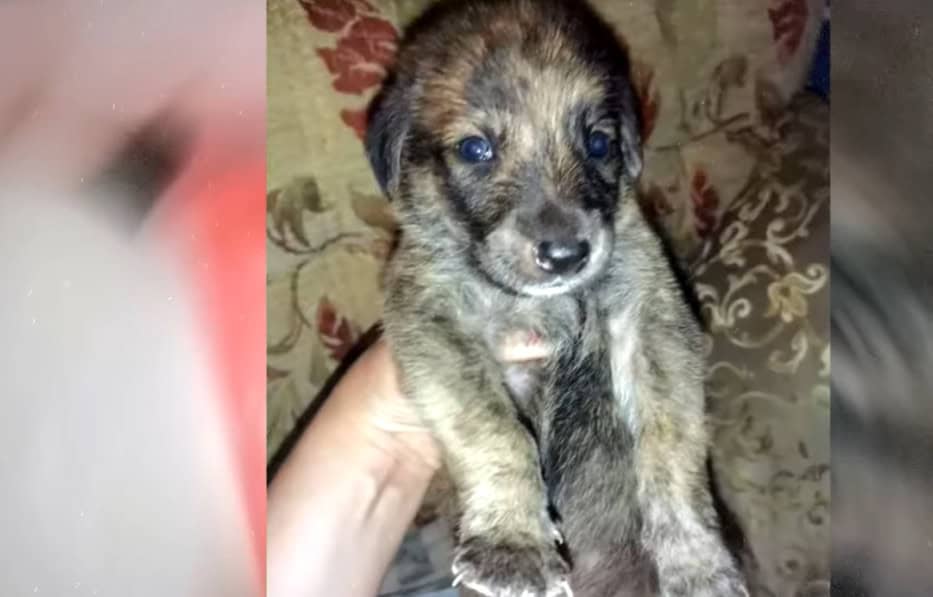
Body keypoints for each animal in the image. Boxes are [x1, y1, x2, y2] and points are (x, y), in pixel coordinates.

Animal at [365, 1, 748, 595]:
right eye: (476, 149)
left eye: (599, 142)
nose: (567, 255)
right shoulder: (434, 324)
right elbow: (495, 431)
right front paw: (512, 546)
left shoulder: (654, 325)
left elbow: (671, 448)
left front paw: (698, 564)